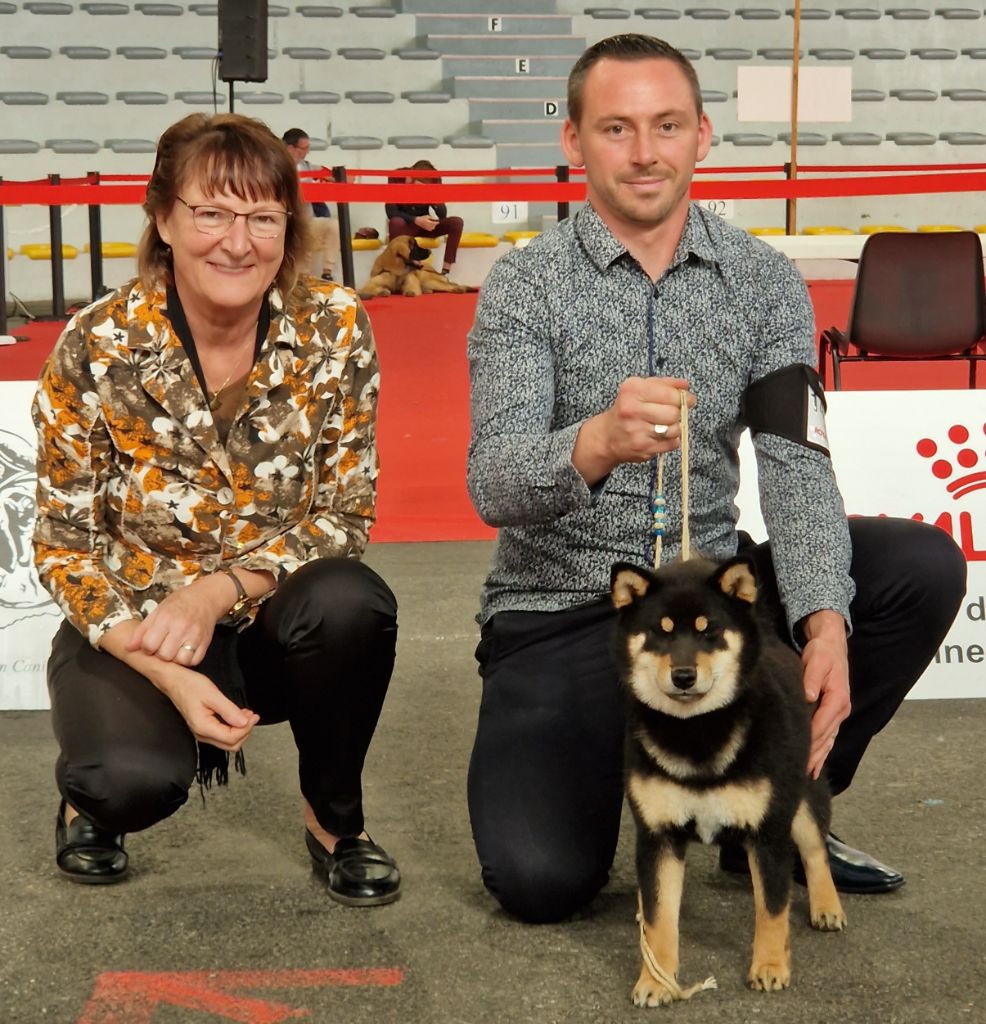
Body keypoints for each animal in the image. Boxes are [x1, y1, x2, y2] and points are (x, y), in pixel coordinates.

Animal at [610, 557, 847, 1003]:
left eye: (709, 629)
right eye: (660, 631)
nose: (684, 675)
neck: (695, 730)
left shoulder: (769, 831)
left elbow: (772, 909)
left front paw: (769, 967)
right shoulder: (657, 833)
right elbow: (660, 918)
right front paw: (656, 979)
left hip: (804, 790)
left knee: (815, 847)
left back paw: (827, 906)